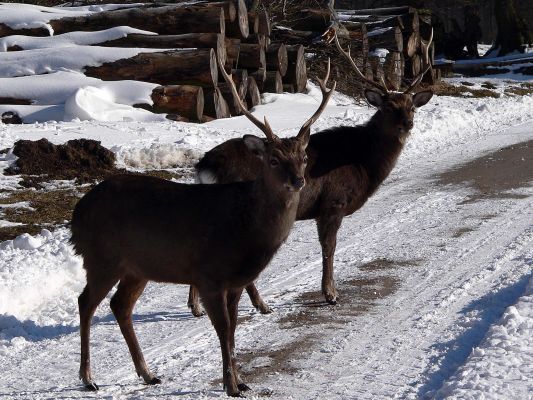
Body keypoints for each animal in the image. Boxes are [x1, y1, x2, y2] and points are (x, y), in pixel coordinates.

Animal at [69, 53, 334, 396]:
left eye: (303, 157)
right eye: (274, 159)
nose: (298, 181)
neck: (245, 228)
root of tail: (77, 214)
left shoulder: (235, 282)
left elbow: (233, 328)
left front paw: (240, 380)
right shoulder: (209, 274)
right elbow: (223, 328)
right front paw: (230, 385)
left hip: (137, 268)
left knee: (119, 305)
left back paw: (148, 373)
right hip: (102, 258)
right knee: (85, 302)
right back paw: (88, 378)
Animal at [186, 29, 432, 318]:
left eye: (412, 107)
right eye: (388, 107)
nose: (408, 123)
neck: (363, 162)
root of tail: (205, 165)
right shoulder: (333, 203)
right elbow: (329, 249)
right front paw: (331, 294)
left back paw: (197, 307)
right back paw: (260, 304)